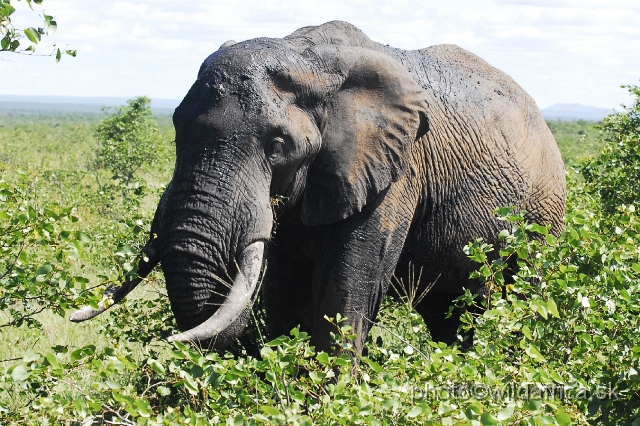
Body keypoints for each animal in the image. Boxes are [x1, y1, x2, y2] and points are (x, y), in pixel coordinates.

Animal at [71, 20, 564, 354]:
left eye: (278, 145)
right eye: (175, 128)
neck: (307, 58)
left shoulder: (397, 171)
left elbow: (346, 288)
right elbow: (284, 288)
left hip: (542, 217)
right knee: (451, 313)